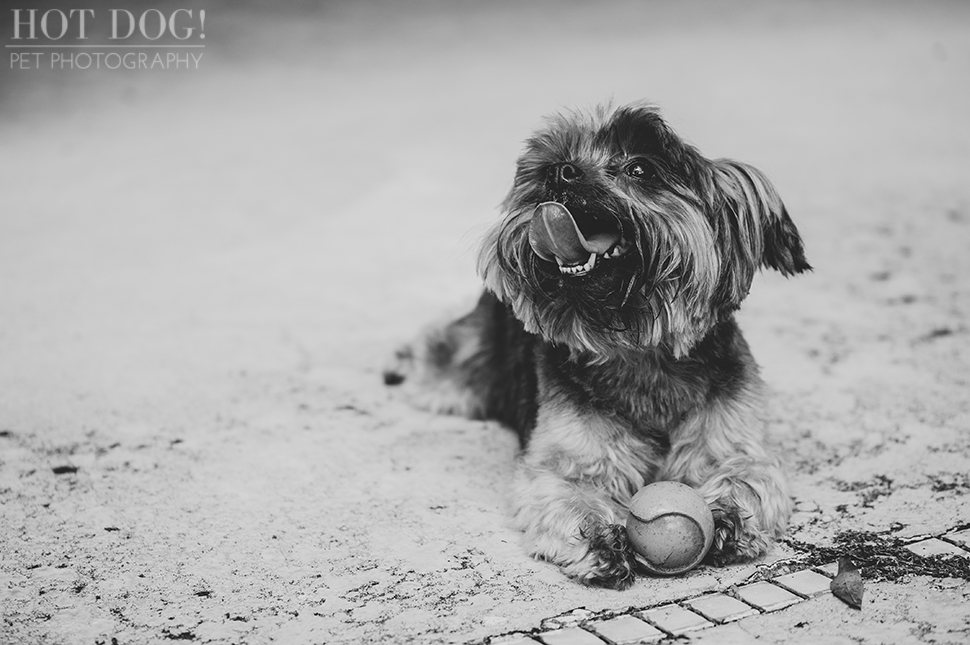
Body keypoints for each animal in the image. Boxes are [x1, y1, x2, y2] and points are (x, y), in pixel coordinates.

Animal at [382, 102, 804, 588]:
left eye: (640, 168)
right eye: (553, 159)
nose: (558, 171)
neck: (641, 351)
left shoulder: (735, 444)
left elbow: (749, 475)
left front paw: (732, 517)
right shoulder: (568, 463)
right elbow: (570, 493)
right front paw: (599, 538)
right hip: (464, 366)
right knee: (437, 348)